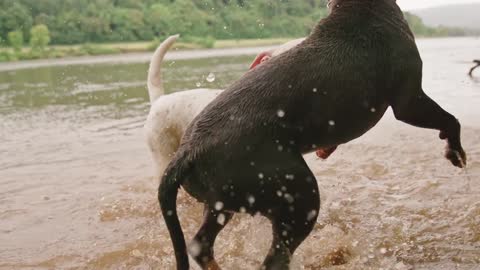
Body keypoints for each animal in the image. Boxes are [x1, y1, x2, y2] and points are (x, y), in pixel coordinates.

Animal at [159, 0, 466, 270]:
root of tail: (187, 152)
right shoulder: (409, 102)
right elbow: (450, 120)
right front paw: (455, 152)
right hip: (297, 194)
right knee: (275, 257)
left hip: (221, 203)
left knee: (201, 245)